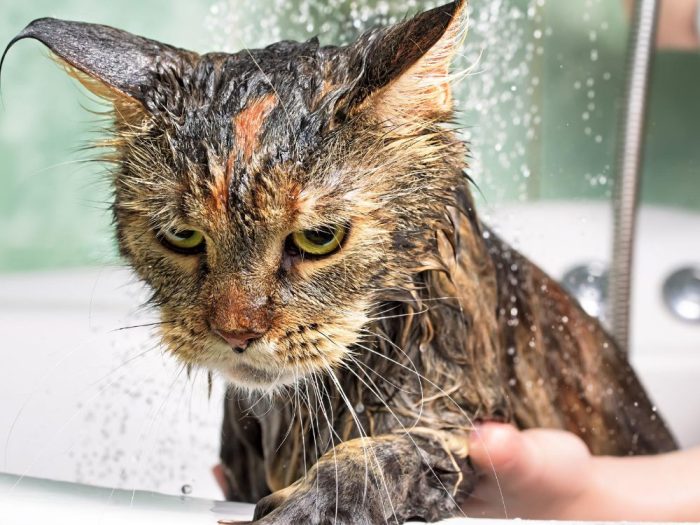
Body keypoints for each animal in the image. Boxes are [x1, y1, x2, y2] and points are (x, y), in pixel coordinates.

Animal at [2, 1, 676, 524]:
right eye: (183, 237)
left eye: (320, 238)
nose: (237, 332)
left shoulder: (452, 417)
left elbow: (383, 457)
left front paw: (316, 500)